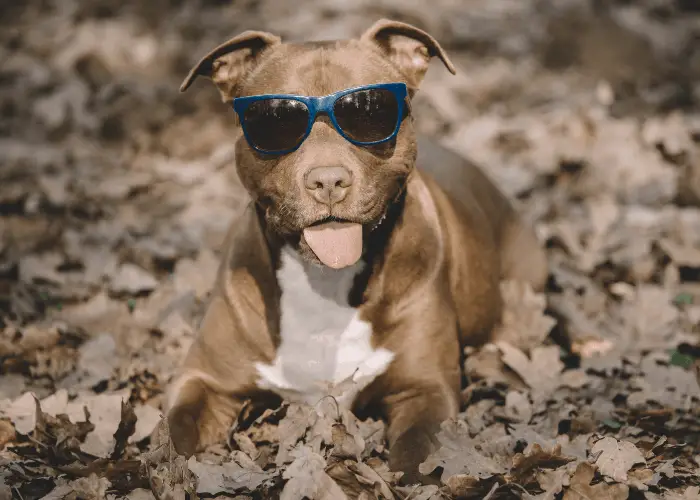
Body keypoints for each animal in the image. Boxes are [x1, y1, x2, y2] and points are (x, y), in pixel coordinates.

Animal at [165, 19, 548, 484]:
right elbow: (175, 437)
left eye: (369, 112)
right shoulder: (204, 380)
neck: (325, 282)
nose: (328, 180)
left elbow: (420, 454)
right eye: (274, 119)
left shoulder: (424, 389)